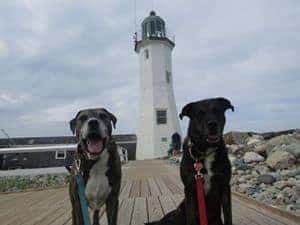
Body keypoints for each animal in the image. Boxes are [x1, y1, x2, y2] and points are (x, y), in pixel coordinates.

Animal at [146, 97, 233, 225]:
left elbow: (228, 216)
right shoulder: (190, 188)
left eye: (217, 110)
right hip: (180, 210)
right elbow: (191, 216)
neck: (205, 152)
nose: (212, 124)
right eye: (200, 113)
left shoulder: (225, 186)